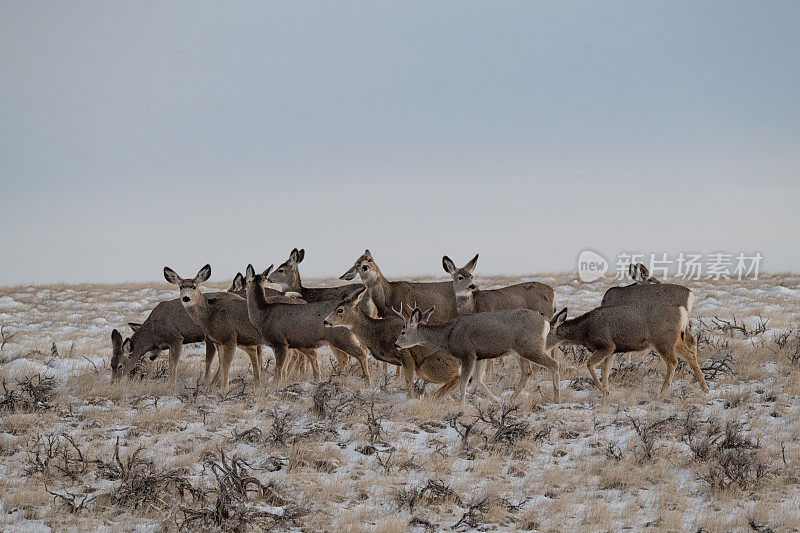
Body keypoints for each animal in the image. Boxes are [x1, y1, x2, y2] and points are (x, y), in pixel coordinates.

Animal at [163, 262, 268, 390]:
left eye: (194, 286)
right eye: (180, 287)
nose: (186, 298)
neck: (209, 315)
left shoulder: (229, 337)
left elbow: (226, 364)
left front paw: (224, 390)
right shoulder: (218, 341)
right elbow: (221, 362)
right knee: (254, 351)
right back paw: (259, 383)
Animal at [244, 264, 372, 384]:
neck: (263, 313)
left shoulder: (280, 341)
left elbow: (279, 369)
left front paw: (275, 385)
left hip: (341, 336)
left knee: (361, 353)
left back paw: (367, 382)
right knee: (347, 357)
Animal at [320, 286, 496, 400]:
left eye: (340, 310)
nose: (325, 321)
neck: (377, 333)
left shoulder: (406, 356)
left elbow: (408, 381)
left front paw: (409, 399)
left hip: (428, 366)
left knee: (460, 377)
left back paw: (435, 396)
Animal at [396, 306, 560, 406]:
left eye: (402, 332)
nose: (396, 344)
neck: (448, 336)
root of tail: (546, 322)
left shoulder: (468, 352)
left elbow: (463, 381)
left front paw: (461, 407)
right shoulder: (479, 356)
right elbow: (478, 379)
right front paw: (496, 401)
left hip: (530, 348)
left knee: (554, 364)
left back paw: (556, 400)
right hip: (519, 352)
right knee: (527, 372)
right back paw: (510, 401)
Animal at [544, 304, 708, 394]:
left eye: (545, 332)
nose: (541, 346)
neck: (585, 331)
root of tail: (683, 312)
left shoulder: (607, 345)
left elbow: (590, 364)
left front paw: (602, 389)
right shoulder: (612, 350)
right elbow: (605, 370)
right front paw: (607, 392)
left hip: (663, 340)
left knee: (673, 361)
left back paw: (662, 392)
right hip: (674, 340)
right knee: (690, 355)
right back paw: (705, 388)